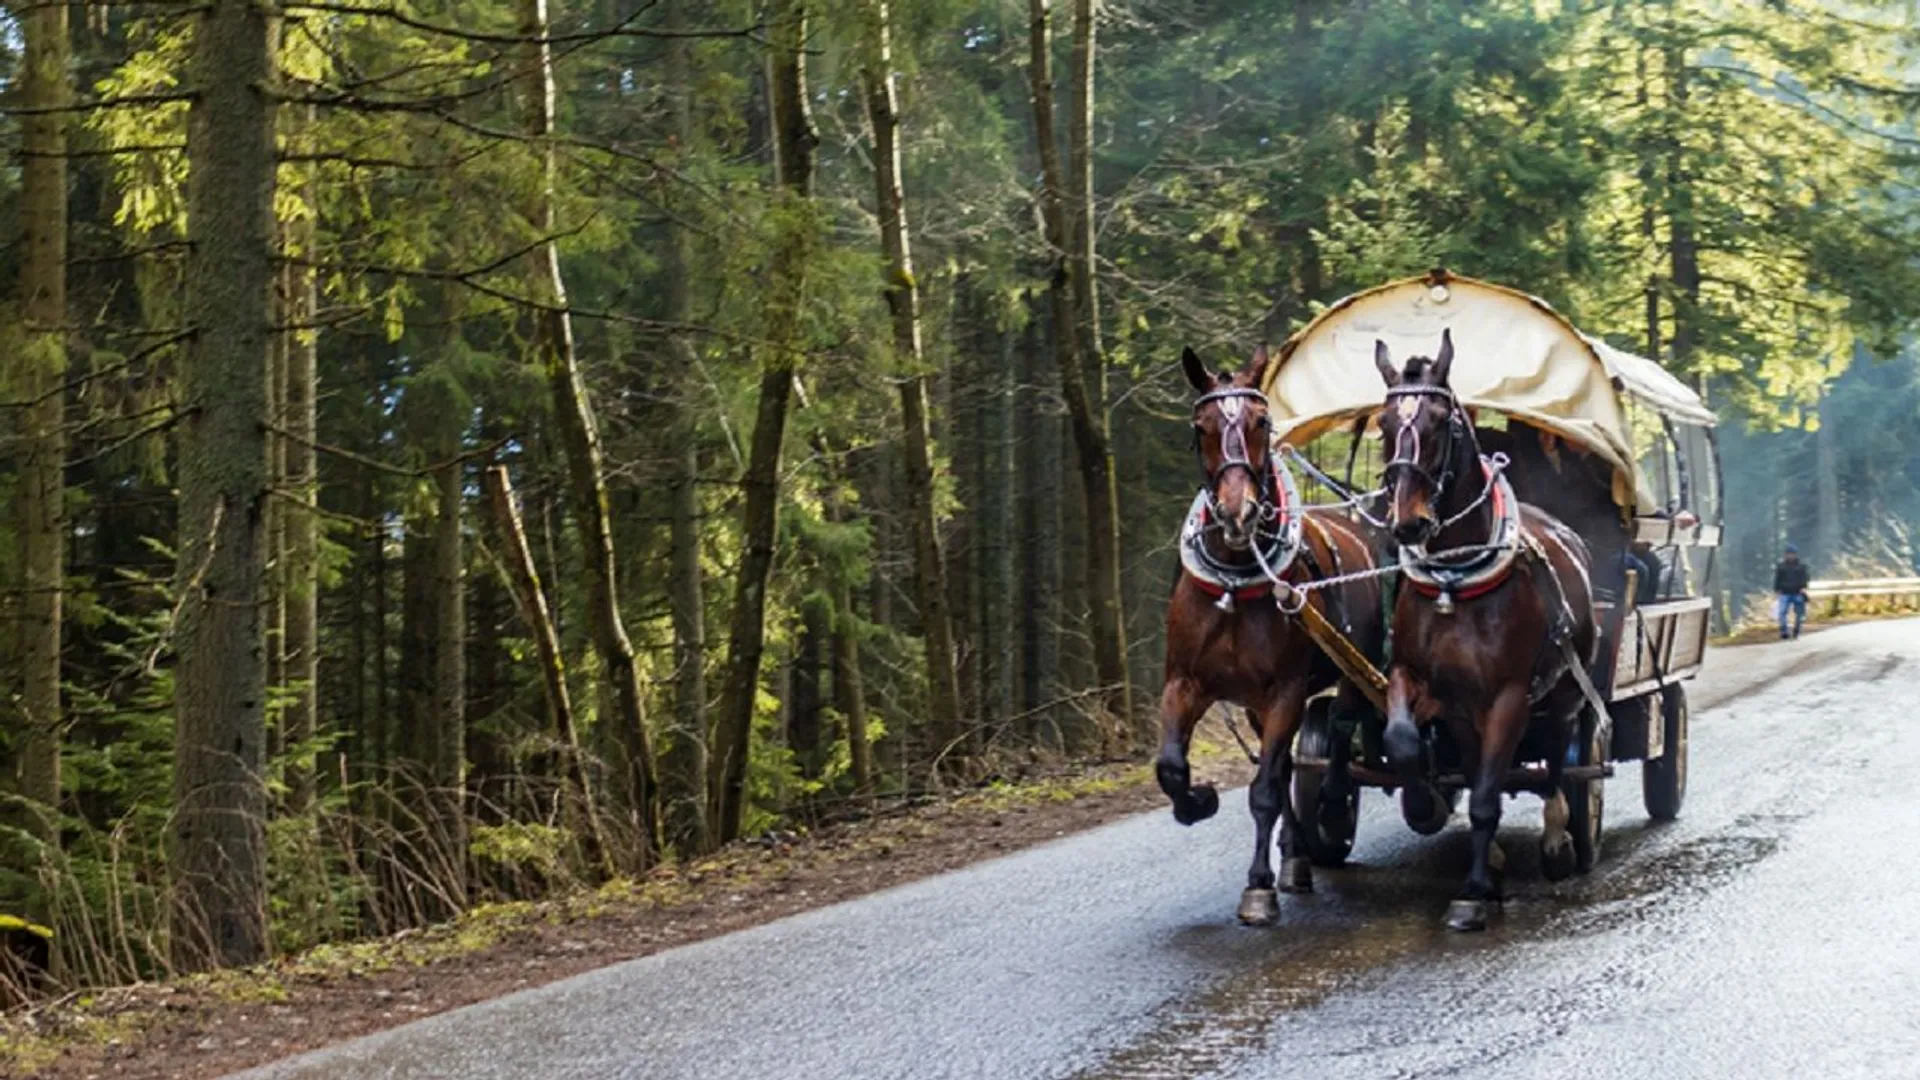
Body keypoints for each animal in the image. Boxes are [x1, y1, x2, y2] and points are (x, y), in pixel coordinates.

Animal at [1144, 343, 1390, 926]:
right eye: (1201, 426)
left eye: (1261, 421)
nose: (1238, 513)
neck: (1238, 578)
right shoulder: (1184, 684)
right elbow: (1172, 768)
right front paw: (1198, 800)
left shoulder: (1286, 692)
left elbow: (1263, 791)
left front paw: (1258, 887)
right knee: (1284, 766)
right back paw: (1296, 856)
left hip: (1352, 667)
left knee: (1340, 728)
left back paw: (1330, 806)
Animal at [1374, 328, 1597, 926]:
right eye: (1385, 423)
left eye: (1440, 422)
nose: (1409, 522)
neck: (1455, 581)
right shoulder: (1427, 684)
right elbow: (1406, 742)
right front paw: (1425, 804)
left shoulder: (1509, 696)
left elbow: (1485, 796)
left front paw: (1473, 892)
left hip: (1564, 693)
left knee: (1557, 758)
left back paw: (1558, 839)